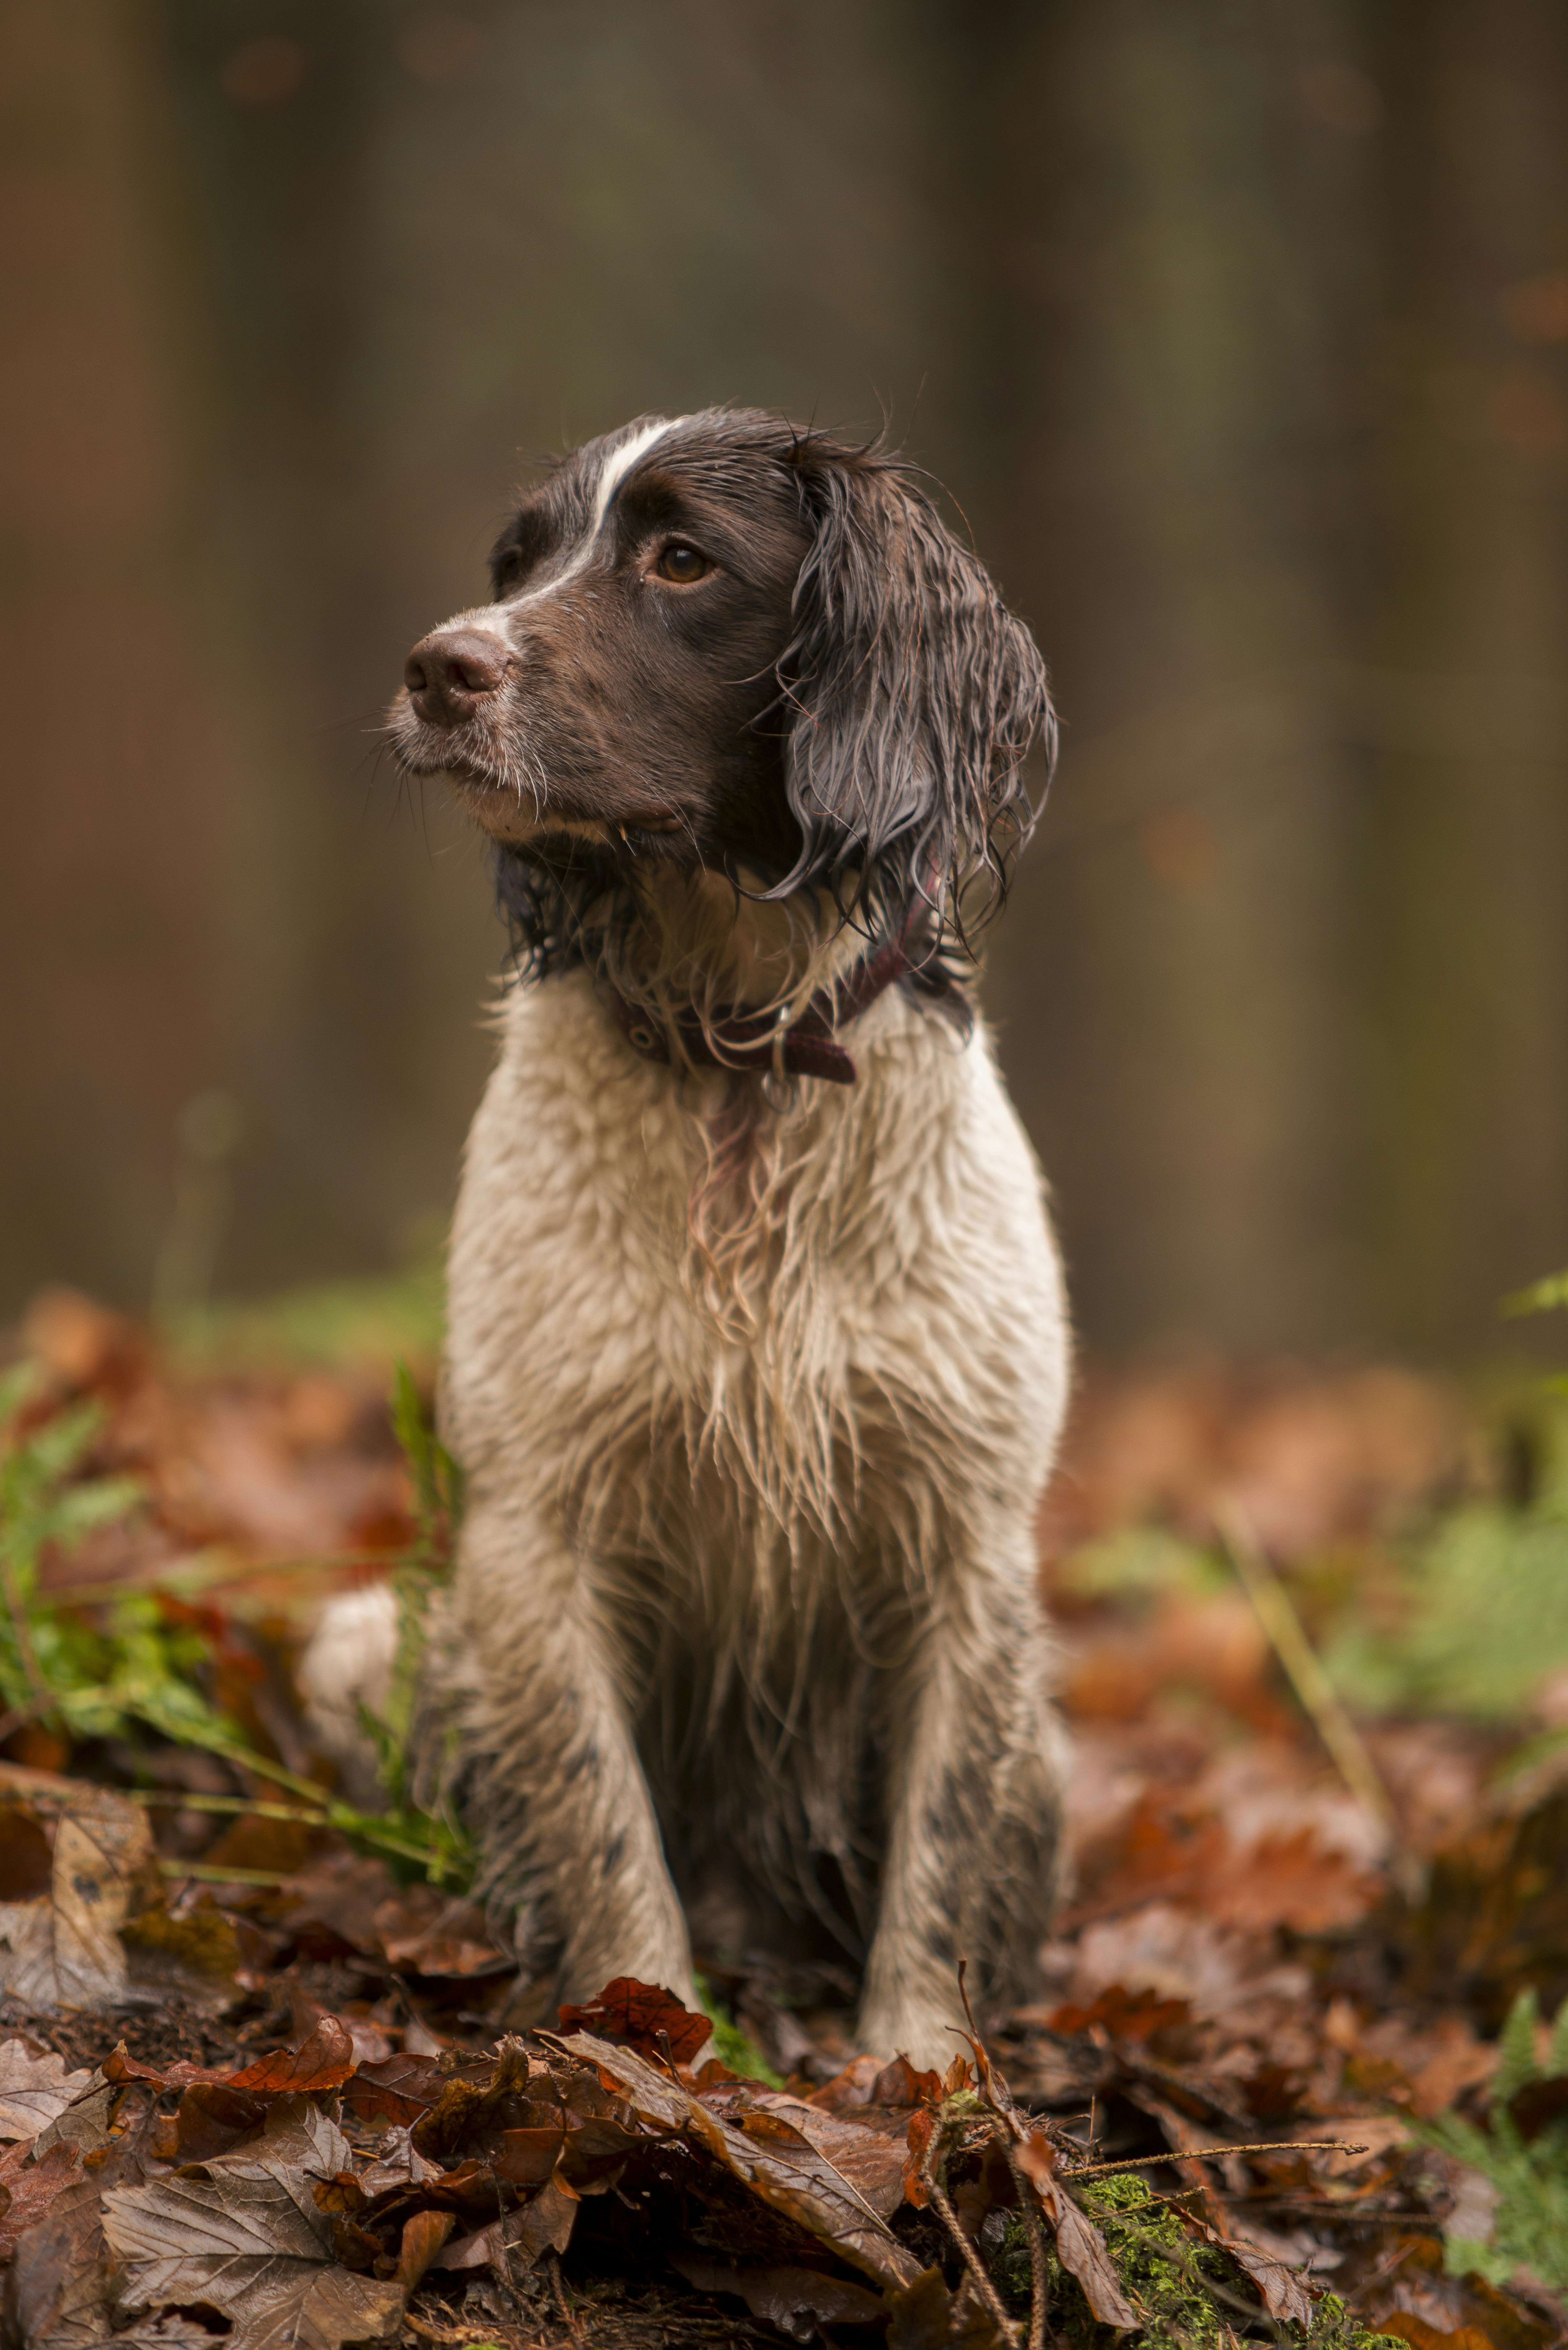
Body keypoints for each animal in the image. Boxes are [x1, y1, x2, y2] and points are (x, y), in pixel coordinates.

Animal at [301, 413, 1072, 2068]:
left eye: (679, 559)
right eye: (516, 562)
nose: (436, 666)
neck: (740, 1066)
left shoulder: (964, 1534)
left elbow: (939, 1847)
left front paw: (916, 2073)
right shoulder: (537, 1529)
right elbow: (602, 1832)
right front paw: (650, 2041)